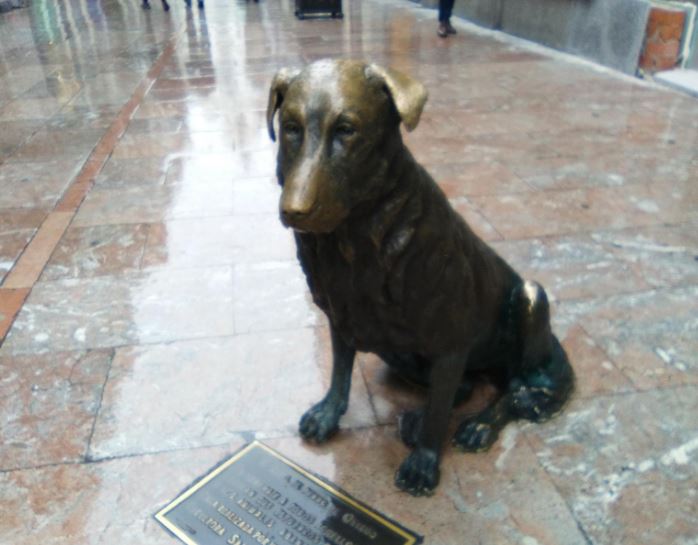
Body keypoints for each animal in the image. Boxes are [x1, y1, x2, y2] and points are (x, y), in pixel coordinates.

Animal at [266, 60, 572, 498]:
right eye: (291, 127)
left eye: (346, 129)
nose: (295, 211)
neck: (352, 243)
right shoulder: (341, 318)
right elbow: (341, 373)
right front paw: (328, 413)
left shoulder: (451, 345)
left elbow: (441, 410)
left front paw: (424, 463)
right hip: (397, 354)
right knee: (467, 387)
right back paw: (416, 418)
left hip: (532, 301)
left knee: (519, 391)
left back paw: (478, 425)